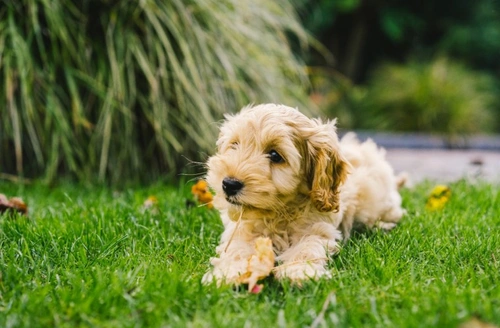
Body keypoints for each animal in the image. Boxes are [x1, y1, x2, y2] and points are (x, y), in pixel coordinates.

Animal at [201, 104, 404, 284]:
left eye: (275, 155)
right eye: (234, 145)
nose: (229, 184)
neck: (278, 213)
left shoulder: (317, 228)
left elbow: (307, 247)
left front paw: (300, 272)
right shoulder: (243, 229)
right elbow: (237, 249)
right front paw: (228, 273)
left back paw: (384, 225)